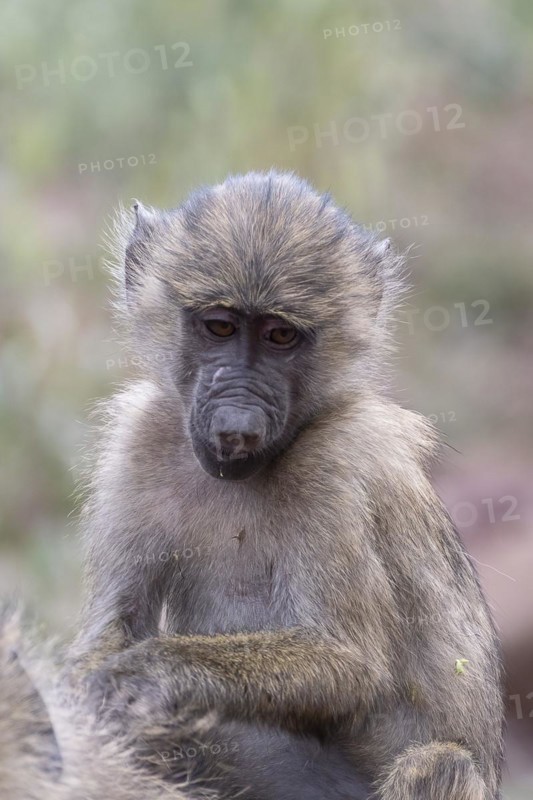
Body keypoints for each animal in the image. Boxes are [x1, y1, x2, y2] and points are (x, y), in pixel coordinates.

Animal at [67, 170, 503, 800]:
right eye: (219, 326)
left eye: (280, 336)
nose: (237, 423)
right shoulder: (138, 440)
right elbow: (111, 628)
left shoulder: (340, 463)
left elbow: (348, 663)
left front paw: (142, 676)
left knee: (440, 763)